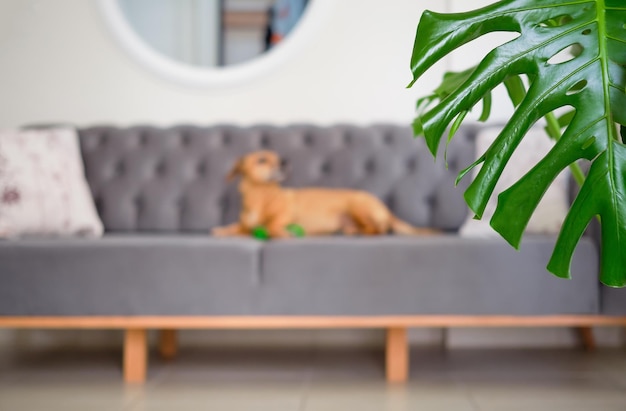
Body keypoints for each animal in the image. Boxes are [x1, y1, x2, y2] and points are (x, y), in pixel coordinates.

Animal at [212, 151, 436, 238]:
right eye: (261, 159)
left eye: (276, 156)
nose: (285, 161)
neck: (260, 195)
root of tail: (386, 209)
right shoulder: (244, 225)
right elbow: (236, 227)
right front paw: (221, 230)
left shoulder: (285, 216)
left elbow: (272, 226)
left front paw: (281, 232)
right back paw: (351, 230)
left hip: (358, 206)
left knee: (379, 229)